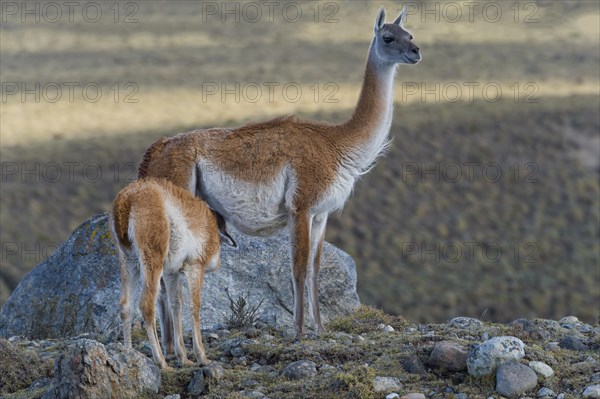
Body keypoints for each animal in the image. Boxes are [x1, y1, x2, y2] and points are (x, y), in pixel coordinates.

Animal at [109, 178, 220, 368]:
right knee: (146, 304)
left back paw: (129, 354)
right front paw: (201, 356)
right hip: (151, 259)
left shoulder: (171, 272)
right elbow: (194, 306)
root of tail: (126, 200)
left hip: (129, 262)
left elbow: (176, 304)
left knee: (125, 306)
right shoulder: (194, 267)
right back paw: (161, 362)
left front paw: (183, 357)